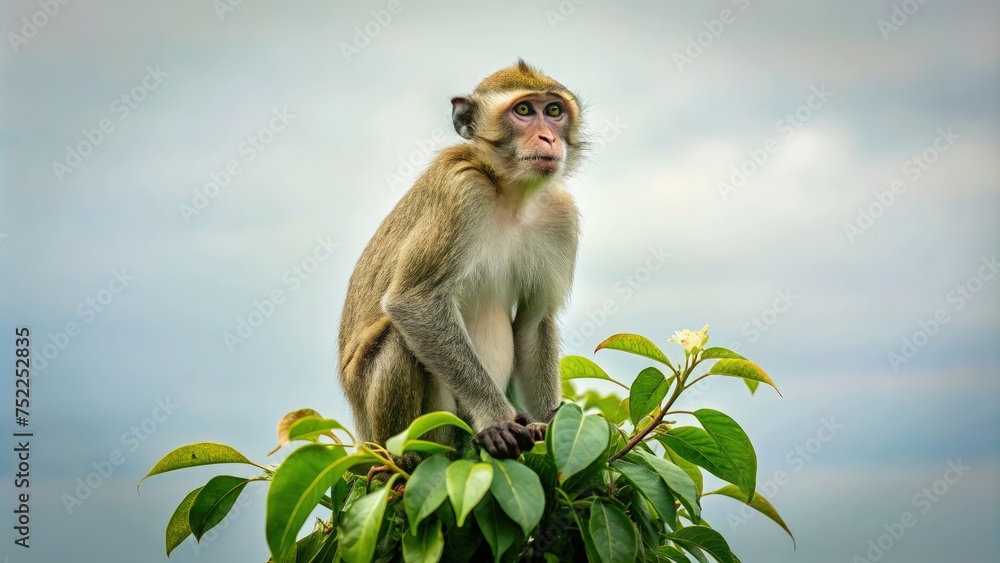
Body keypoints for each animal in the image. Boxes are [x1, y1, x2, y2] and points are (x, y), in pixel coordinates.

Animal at [337, 60, 584, 463]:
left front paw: (548, 422)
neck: (509, 194)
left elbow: (534, 321)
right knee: (399, 340)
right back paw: (406, 460)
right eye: (523, 110)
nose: (549, 138)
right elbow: (414, 302)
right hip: (377, 422)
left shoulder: (559, 215)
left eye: (553, 111)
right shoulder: (462, 192)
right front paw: (497, 419)